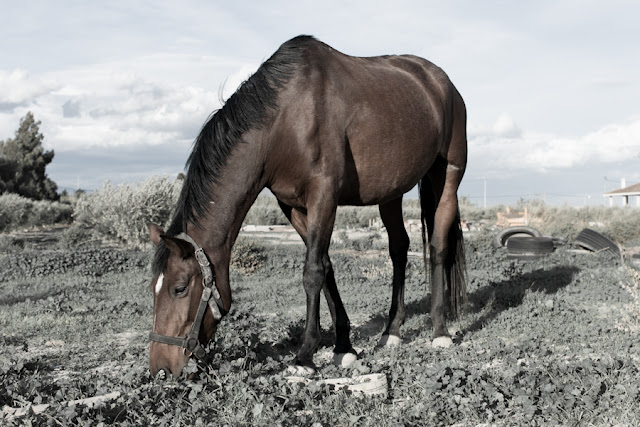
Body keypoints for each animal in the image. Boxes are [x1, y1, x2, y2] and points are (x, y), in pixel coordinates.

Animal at [147, 35, 467, 378]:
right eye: (154, 287)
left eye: (180, 288)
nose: (160, 368)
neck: (284, 121)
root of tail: (441, 81)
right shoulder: (293, 206)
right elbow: (326, 267)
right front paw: (344, 346)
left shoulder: (323, 195)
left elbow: (313, 271)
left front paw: (304, 356)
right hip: (391, 192)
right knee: (399, 249)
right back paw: (392, 330)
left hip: (448, 175)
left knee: (438, 246)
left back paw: (440, 330)